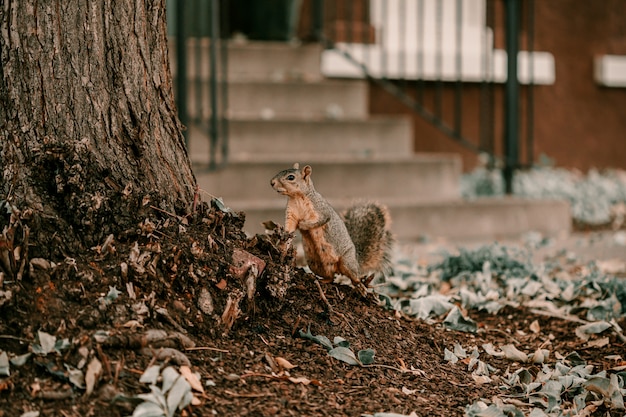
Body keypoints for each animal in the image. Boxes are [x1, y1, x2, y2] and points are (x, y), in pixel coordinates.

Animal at [268, 161, 390, 294]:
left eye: (291, 177)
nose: (272, 182)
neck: (297, 197)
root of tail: (356, 260)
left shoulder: (321, 211)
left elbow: (319, 221)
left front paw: (303, 225)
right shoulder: (291, 214)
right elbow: (290, 225)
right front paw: (285, 233)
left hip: (347, 262)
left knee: (354, 276)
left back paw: (360, 286)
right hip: (316, 264)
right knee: (331, 277)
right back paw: (322, 280)